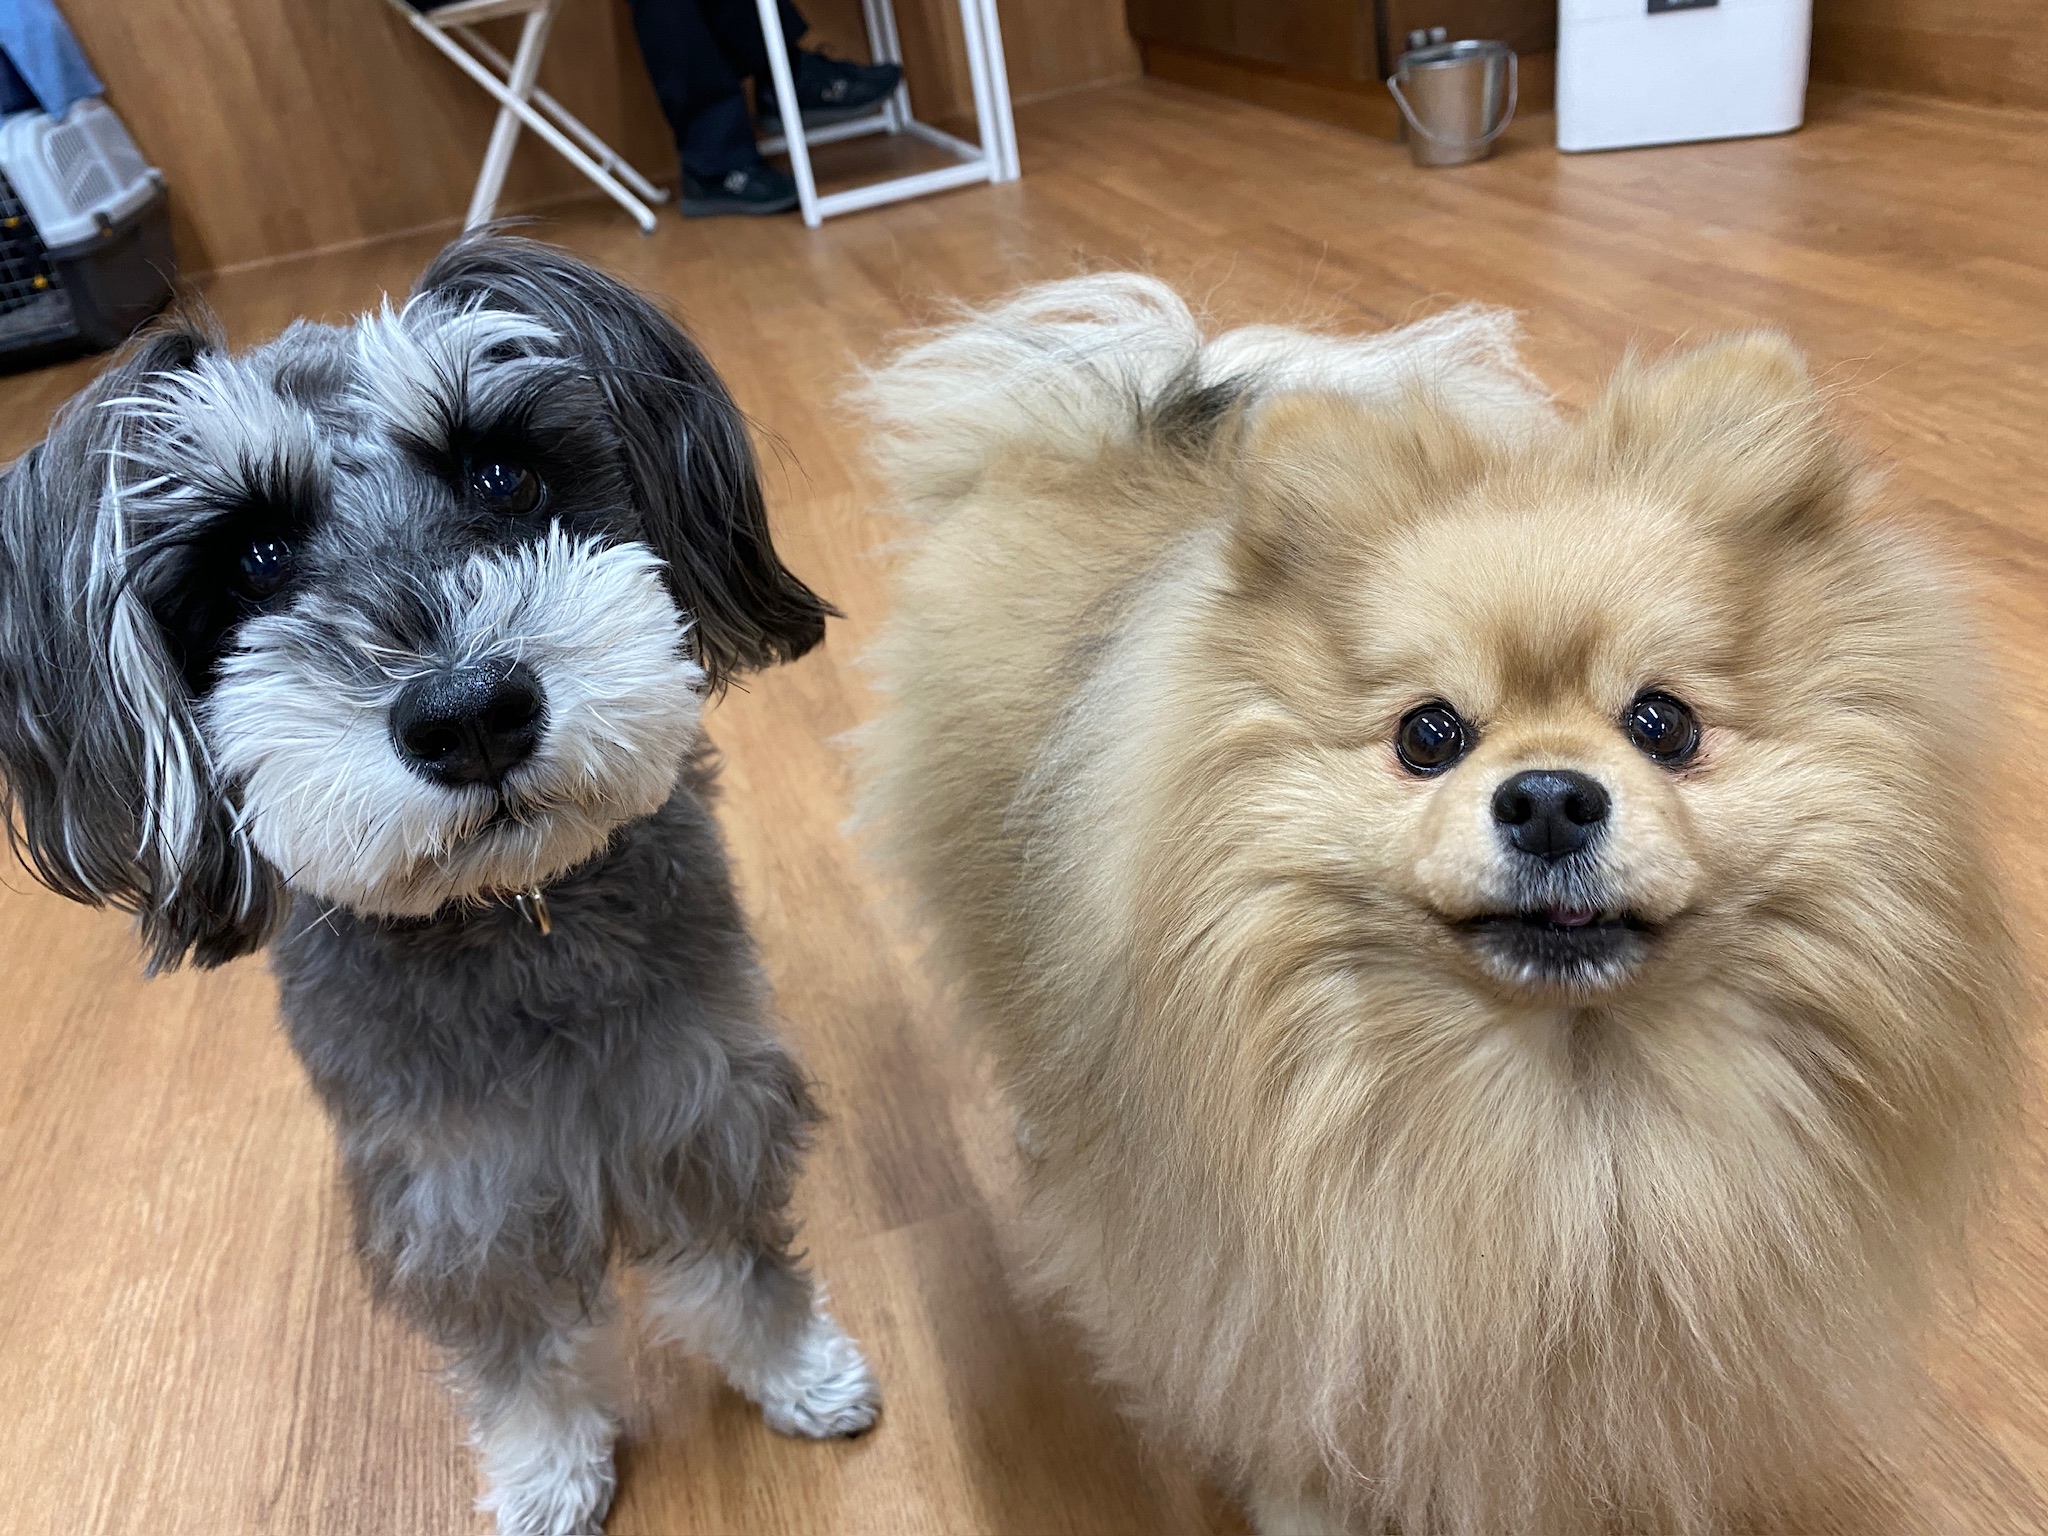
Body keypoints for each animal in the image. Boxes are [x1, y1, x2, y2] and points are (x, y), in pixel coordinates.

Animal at [0, 235, 878, 1536]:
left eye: (503, 473)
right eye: (254, 557)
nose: (470, 716)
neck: (520, 919)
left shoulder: (695, 1101)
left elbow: (739, 1266)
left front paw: (798, 1372)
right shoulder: (458, 1196)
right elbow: (513, 1350)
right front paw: (546, 1469)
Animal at [855, 275, 2021, 1534]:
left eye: (1662, 723)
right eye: (1428, 735)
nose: (1550, 799)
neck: (1568, 1123)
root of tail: (1143, 415)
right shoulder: (1298, 1356)